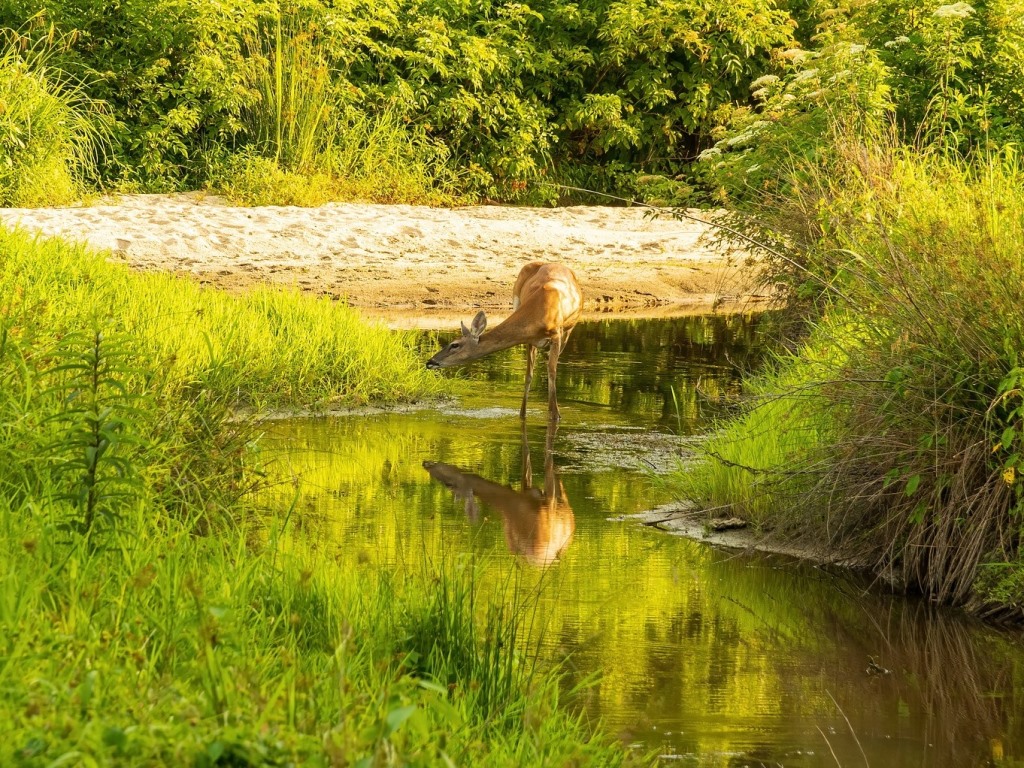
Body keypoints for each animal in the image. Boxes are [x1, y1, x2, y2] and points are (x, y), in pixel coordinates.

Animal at [425, 264, 585, 421]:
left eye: (455, 345)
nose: (430, 362)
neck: (539, 312)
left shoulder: (556, 336)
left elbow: (552, 372)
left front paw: (555, 415)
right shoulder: (530, 339)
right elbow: (528, 376)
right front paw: (522, 415)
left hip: (568, 330)